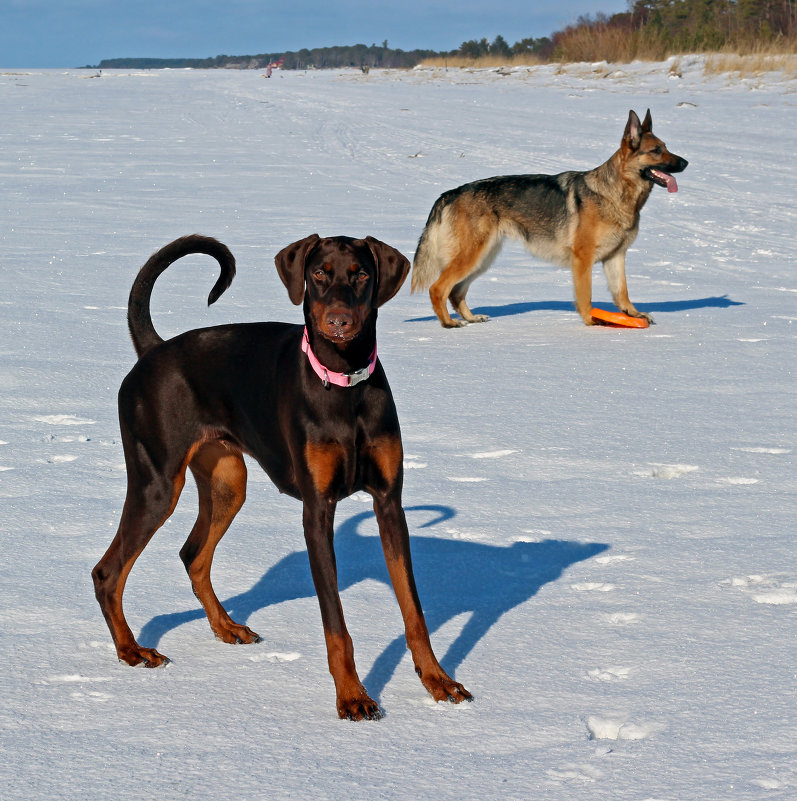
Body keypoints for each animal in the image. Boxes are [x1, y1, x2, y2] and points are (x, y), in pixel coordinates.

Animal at [91, 231, 470, 720]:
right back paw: (131, 650)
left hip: (228, 481)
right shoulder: (317, 511)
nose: (339, 321)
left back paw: (226, 627)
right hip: (157, 485)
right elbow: (336, 624)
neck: (345, 386)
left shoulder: (389, 503)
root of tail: (154, 348)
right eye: (319, 273)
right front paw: (352, 696)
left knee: (193, 554)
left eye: (361, 274)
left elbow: (414, 611)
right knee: (108, 572)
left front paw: (438, 680)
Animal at [410, 108, 684, 326]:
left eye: (666, 148)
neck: (615, 192)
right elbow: (585, 296)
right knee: (438, 288)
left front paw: (633, 315)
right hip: (472, 256)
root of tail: (451, 193)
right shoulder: (583, 259)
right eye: (656, 150)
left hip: (483, 258)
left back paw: (470, 318)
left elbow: (622, 292)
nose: (686, 163)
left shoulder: (616, 257)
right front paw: (592, 321)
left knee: (456, 292)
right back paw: (448, 323)